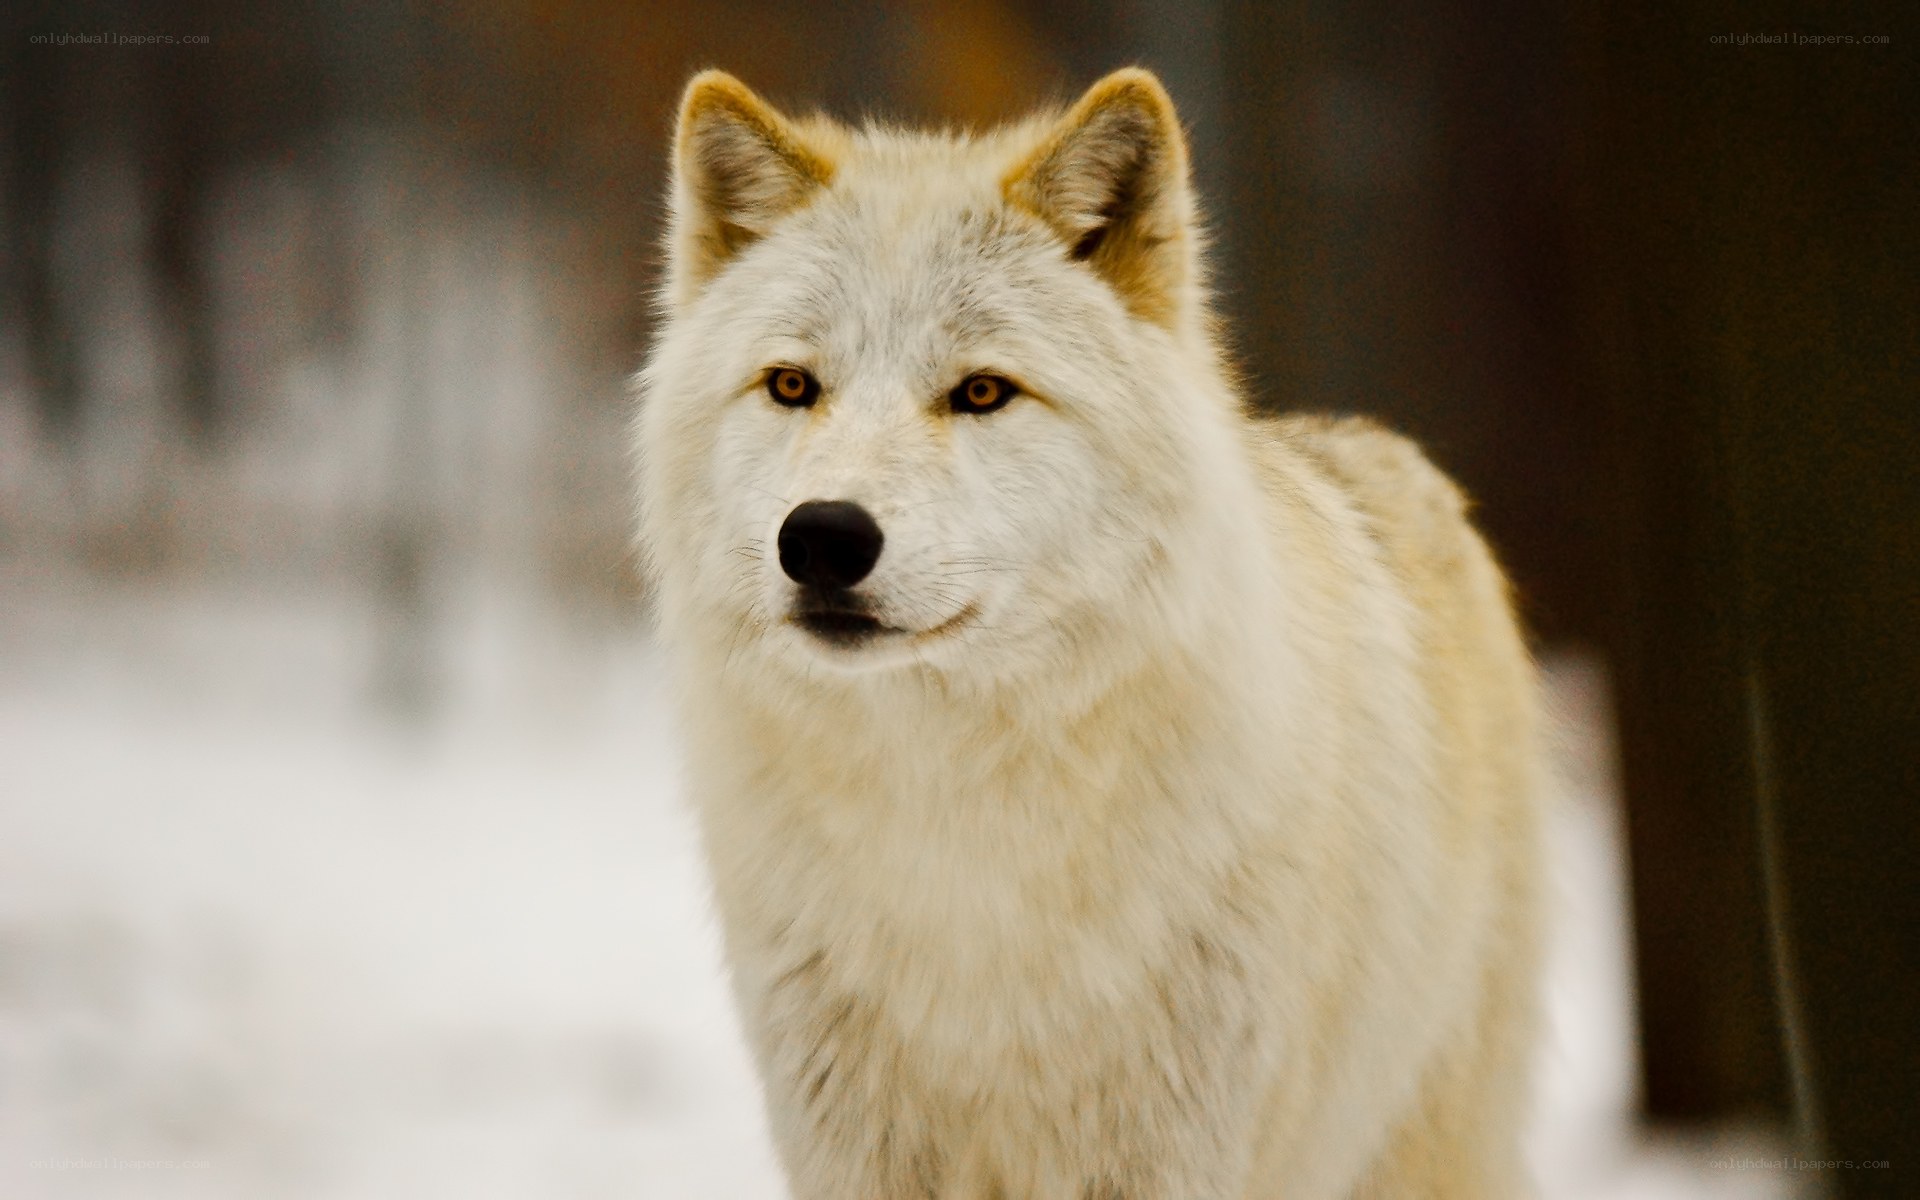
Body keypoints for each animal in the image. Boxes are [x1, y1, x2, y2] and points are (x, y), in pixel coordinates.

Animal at [634, 67, 1543, 1199]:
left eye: (982, 392)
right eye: (793, 385)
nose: (823, 539)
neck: (953, 837)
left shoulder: (1165, 1155)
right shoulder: (854, 1151)